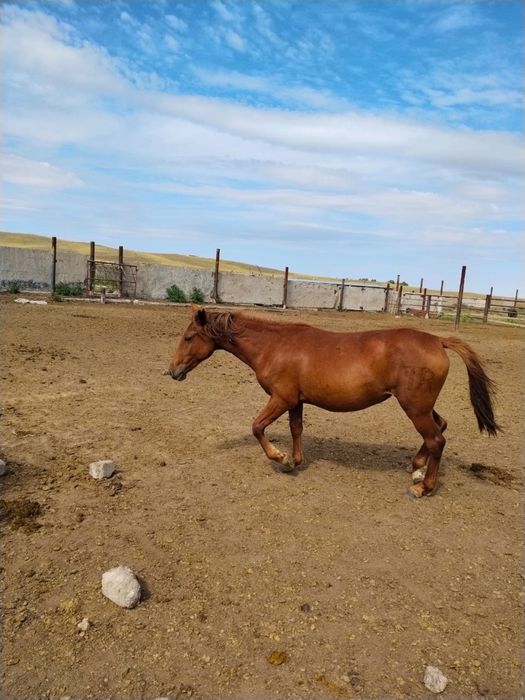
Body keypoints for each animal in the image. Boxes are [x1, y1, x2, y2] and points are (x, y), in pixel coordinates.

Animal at [166, 305, 500, 497]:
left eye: (188, 337)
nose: (172, 371)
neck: (274, 345)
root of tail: (438, 341)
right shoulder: (295, 400)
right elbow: (296, 429)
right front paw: (294, 462)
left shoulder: (281, 397)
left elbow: (257, 427)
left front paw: (280, 458)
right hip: (420, 405)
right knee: (440, 426)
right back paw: (417, 467)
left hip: (414, 407)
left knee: (436, 439)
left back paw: (423, 486)